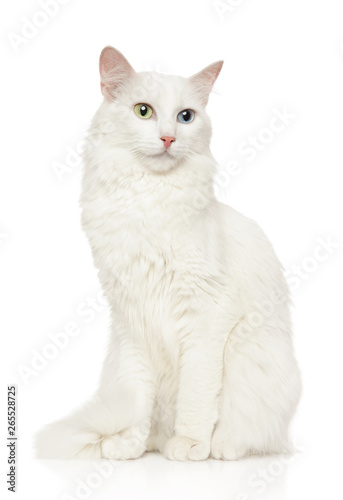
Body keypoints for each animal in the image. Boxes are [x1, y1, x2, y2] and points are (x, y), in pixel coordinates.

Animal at [36, 47, 302, 460]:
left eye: (185, 116)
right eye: (143, 111)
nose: (167, 137)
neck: (147, 201)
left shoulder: (206, 315)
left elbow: (196, 392)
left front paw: (191, 444)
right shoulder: (131, 318)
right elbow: (137, 397)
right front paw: (128, 446)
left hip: (254, 358)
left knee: (251, 432)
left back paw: (220, 447)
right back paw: (145, 443)